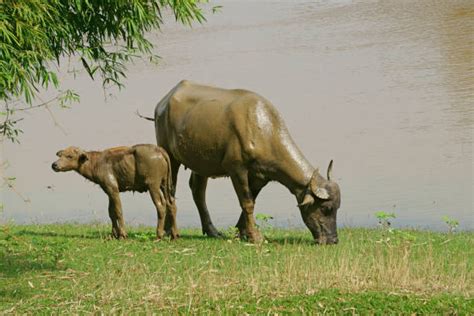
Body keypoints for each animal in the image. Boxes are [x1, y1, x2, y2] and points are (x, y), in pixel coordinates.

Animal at [152, 81, 340, 244]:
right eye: (326, 209)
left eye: (337, 208)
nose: (333, 240)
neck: (263, 131)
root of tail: (163, 102)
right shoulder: (237, 169)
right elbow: (247, 203)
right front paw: (255, 236)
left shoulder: (261, 177)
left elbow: (251, 201)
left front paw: (242, 232)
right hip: (169, 156)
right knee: (170, 190)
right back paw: (169, 231)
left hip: (200, 163)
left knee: (198, 191)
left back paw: (212, 231)